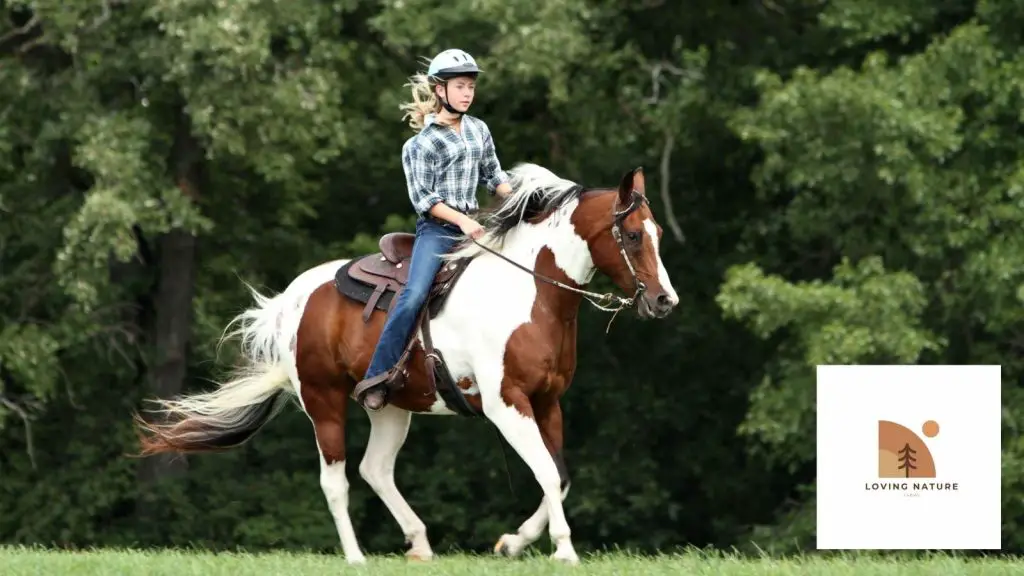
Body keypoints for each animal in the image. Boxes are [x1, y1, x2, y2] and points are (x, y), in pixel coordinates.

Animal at [134, 159, 679, 561]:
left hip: (390, 406)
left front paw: (512, 543)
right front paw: (563, 551)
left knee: (375, 469)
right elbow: (545, 471)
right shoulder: (507, 404)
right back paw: (356, 558)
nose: (664, 300)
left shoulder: (548, 402)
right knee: (335, 480)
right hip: (323, 401)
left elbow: (559, 477)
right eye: (633, 236)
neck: (530, 293)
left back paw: (419, 543)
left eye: (657, 232)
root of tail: (292, 300)